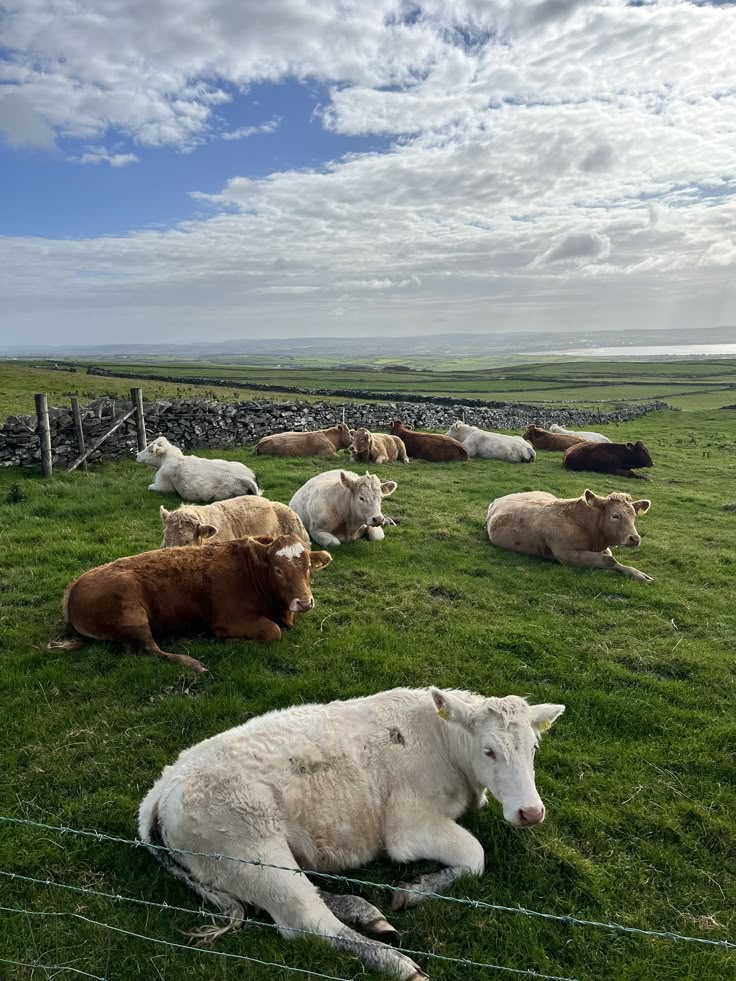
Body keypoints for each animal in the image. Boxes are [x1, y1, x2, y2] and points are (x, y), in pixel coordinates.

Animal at [48, 536, 330, 672]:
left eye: (307, 568)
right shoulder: (229, 620)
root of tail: (75, 585)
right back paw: (193, 660)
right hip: (132, 614)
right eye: (278, 570)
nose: (304, 602)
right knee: (149, 650)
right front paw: (231, 642)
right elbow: (273, 631)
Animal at [138, 684, 564, 976]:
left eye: (533, 748)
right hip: (251, 848)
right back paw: (399, 964)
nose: (530, 812)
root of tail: (161, 789)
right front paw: (415, 889)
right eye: (489, 751)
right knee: (306, 922)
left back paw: (367, 914)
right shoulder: (408, 829)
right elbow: (475, 855)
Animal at [486, 486, 652, 580]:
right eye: (615, 515)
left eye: (634, 516)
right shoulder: (566, 554)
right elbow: (609, 560)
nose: (635, 538)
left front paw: (637, 573)